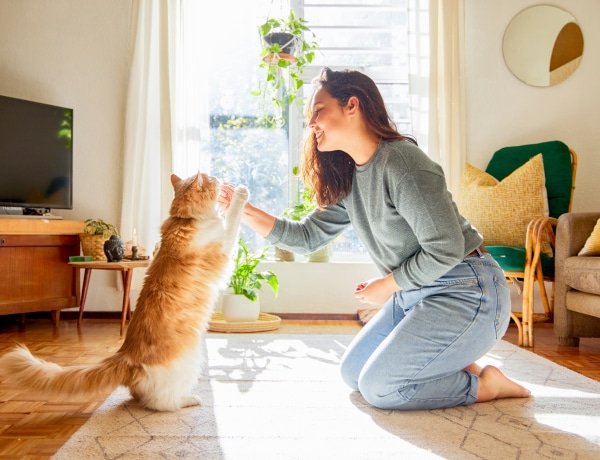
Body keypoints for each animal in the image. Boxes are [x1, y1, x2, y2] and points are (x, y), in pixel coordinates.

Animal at [0, 171, 250, 412]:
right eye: (211, 179)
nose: (220, 178)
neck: (185, 219)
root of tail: (126, 356)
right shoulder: (225, 248)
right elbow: (232, 219)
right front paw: (240, 194)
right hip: (192, 360)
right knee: (160, 403)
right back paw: (189, 400)